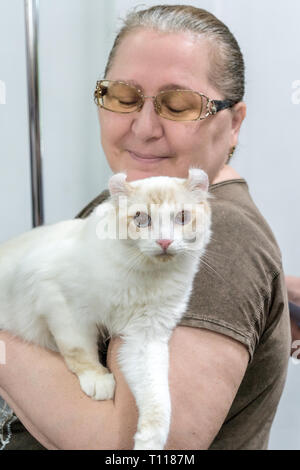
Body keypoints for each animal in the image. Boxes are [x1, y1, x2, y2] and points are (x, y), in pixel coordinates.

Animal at [0, 167, 211, 450]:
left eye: (182, 217)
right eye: (141, 219)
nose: (165, 242)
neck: (146, 278)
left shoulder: (146, 337)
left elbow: (157, 397)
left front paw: (149, 441)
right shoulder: (63, 304)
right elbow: (79, 351)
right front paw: (98, 379)